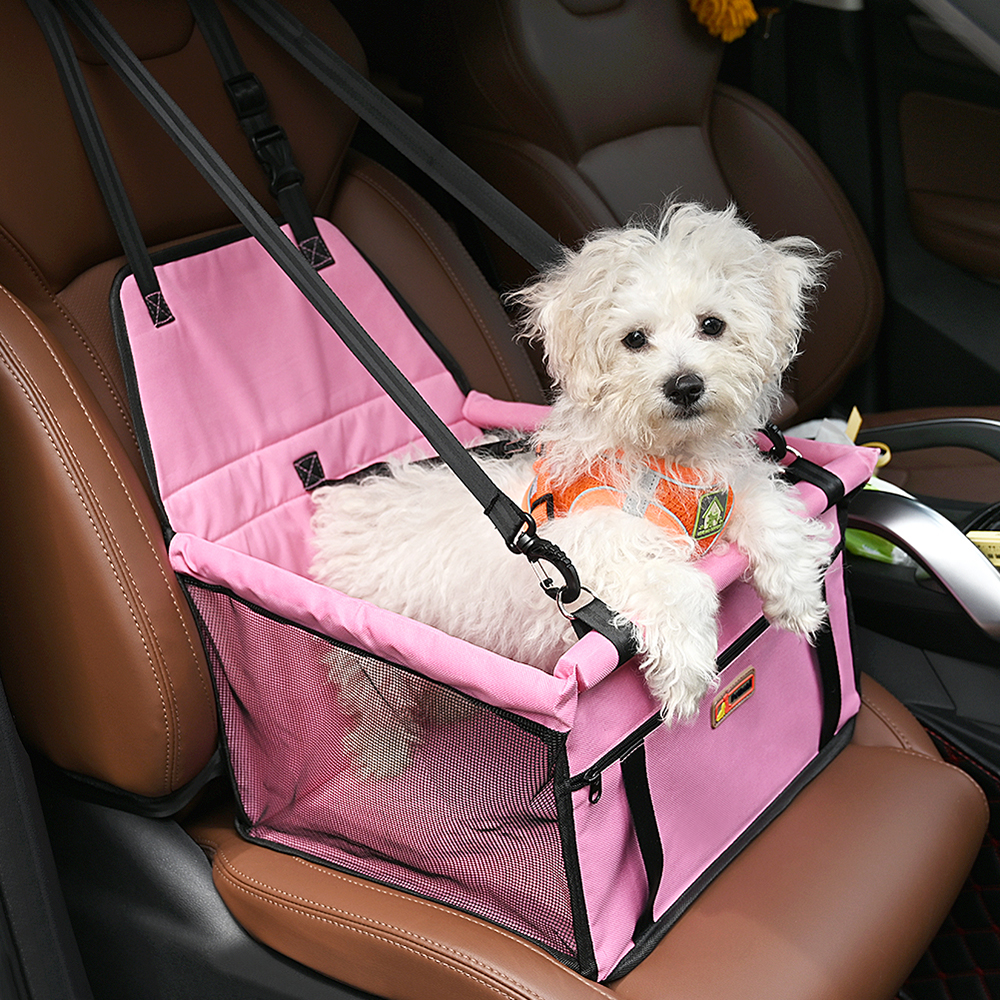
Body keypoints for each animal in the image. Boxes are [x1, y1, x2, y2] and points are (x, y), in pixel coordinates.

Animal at [312, 201, 836, 756]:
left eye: (711, 324)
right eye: (634, 339)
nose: (685, 385)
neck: (664, 457)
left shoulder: (728, 491)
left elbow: (772, 511)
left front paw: (800, 599)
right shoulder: (592, 543)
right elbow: (679, 586)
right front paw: (686, 676)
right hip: (370, 671)